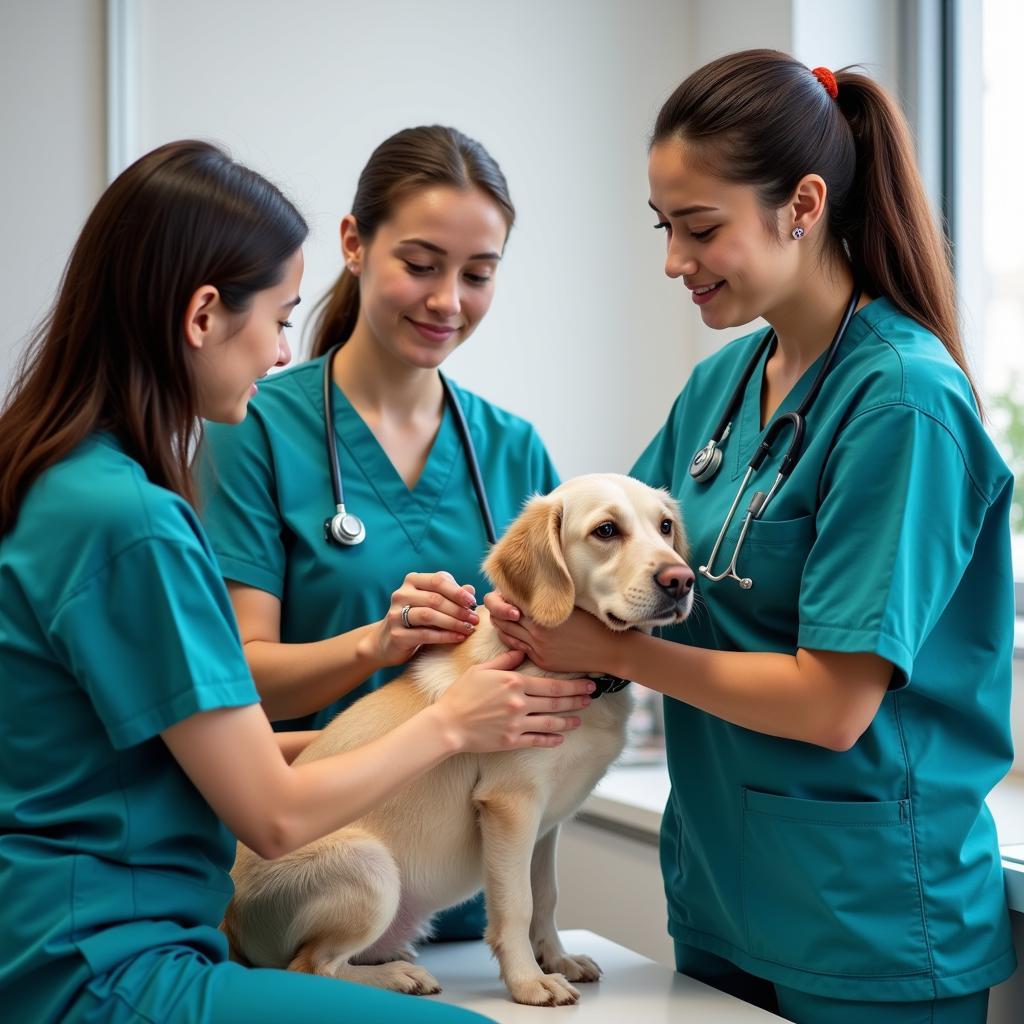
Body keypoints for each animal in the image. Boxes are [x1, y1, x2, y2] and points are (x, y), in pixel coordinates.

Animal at [226, 475, 696, 1003]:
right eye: (607, 530)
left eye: (665, 526)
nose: (682, 580)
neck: (585, 682)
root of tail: (231, 923)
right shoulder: (511, 806)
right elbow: (516, 906)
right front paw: (528, 981)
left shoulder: (545, 827)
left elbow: (546, 898)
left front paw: (556, 959)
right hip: (369, 865)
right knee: (310, 967)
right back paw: (396, 977)